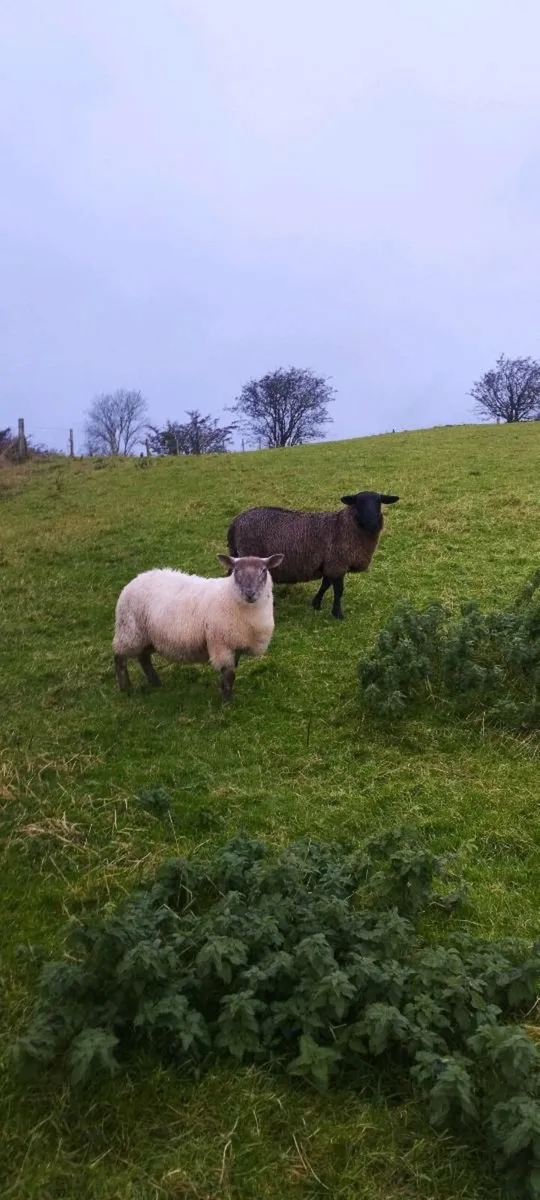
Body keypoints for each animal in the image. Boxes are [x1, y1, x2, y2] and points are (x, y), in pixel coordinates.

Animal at [113, 553, 284, 702]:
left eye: (264, 570)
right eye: (236, 571)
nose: (250, 594)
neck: (230, 596)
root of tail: (138, 578)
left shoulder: (235, 645)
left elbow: (230, 673)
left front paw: (224, 692)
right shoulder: (221, 644)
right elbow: (229, 674)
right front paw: (227, 703)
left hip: (147, 636)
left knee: (143, 658)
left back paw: (156, 683)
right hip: (129, 630)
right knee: (119, 656)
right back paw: (126, 688)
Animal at [227, 491, 399, 620]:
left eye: (379, 502)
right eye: (358, 502)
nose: (372, 522)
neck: (344, 526)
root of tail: (235, 522)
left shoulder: (329, 565)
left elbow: (325, 585)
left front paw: (316, 604)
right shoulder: (337, 565)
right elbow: (339, 591)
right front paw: (338, 614)